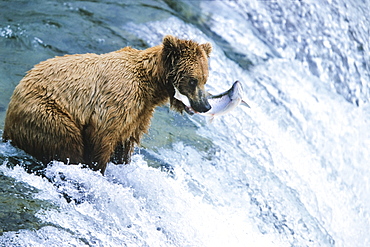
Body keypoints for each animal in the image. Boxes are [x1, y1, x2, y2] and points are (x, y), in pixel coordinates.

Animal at [2, 35, 211, 174]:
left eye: (205, 79)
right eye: (193, 80)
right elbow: (103, 136)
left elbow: (125, 143)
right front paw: (98, 168)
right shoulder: (119, 99)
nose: (205, 106)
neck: (151, 85)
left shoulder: (140, 113)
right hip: (46, 112)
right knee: (66, 141)